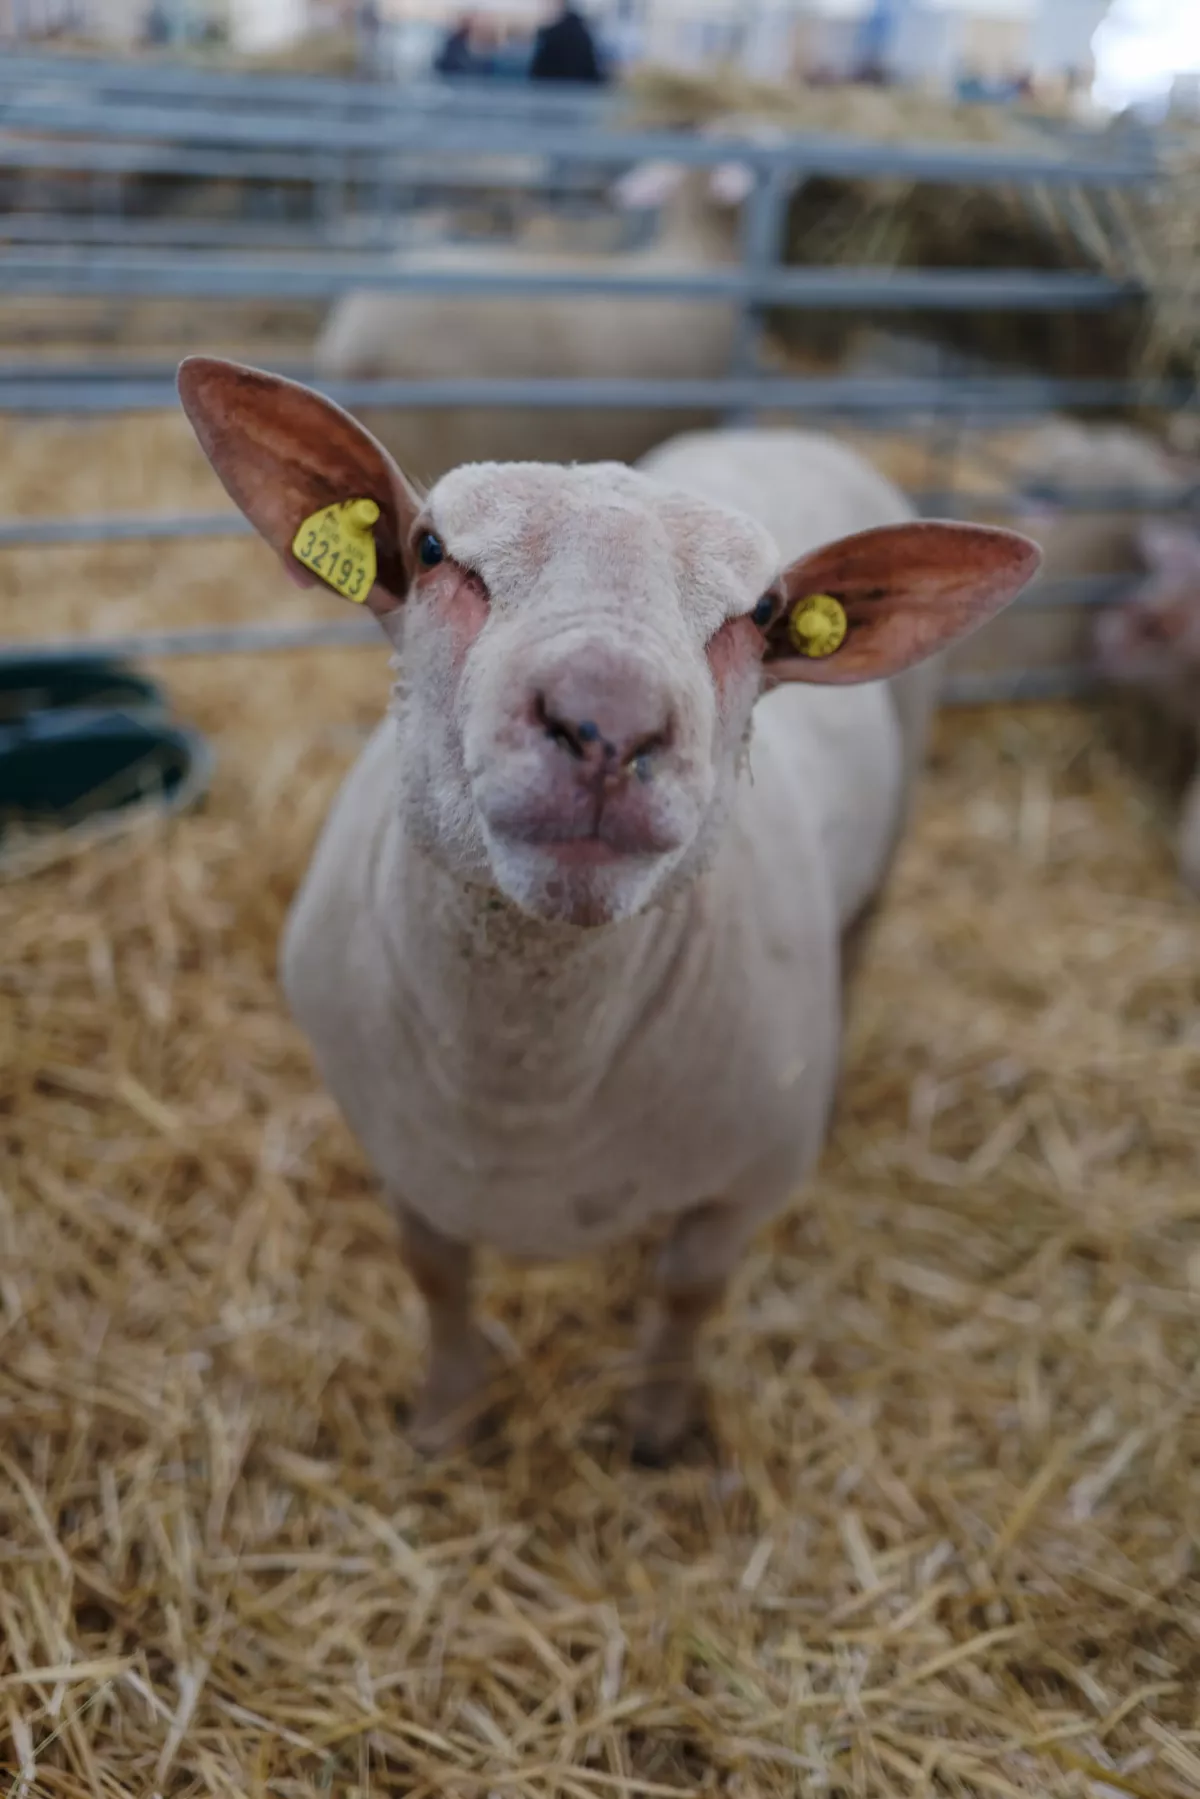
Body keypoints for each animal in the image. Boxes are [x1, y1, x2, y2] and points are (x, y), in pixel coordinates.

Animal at [177, 356, 1039, 1460]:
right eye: (432, 549)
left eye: (765, 610)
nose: (608, 722)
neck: (523, 1088)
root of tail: (797, 430)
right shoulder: (405, 1157)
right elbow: (438, 1279)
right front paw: (446, 1419)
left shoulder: (742, 1182)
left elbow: (689, 1293)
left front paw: (657, 1431)